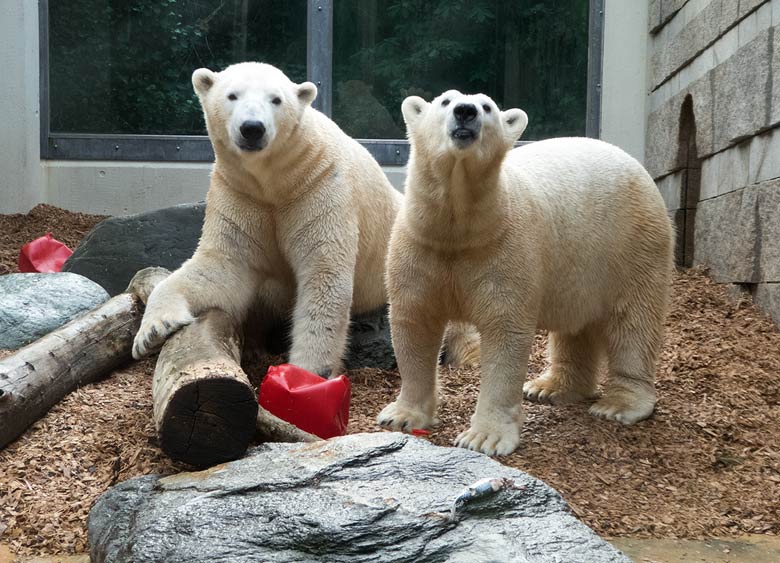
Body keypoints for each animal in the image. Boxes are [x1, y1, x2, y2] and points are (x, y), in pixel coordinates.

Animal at [131, 64, 478, 376]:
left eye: (276, 99)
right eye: (232, 95)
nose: (252, 128)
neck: (276, 181)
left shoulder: (319, 187)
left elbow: (323, 275)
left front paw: (308, 373)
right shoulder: (241, 194)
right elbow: (222, 265)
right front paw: (152, 330)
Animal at [376, 90, 672, 456]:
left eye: (487, 106)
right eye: (445, 101)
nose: (466, 112)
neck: (461, 231)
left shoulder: (505, 249)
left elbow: (505, 333)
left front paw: (484, 437)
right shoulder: (420, 245)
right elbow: (415, 321)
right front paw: (401, 415)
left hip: (632, 242)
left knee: (633, 320)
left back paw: (619, 404)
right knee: (577, 325)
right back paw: (549, 387)